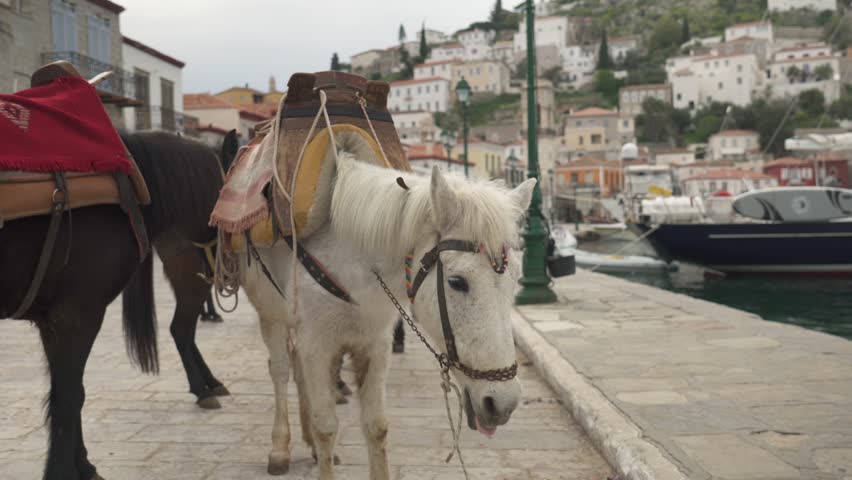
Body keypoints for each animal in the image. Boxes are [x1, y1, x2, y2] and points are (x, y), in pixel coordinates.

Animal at [0, 129, 233, 480]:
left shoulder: (52, 321)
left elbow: (71, 393)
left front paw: (83, 464)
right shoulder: (77, 316)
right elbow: (67, 397)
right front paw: (62, 469)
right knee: (181, 327)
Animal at [238, 137, 535, 479]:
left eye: (516, 280)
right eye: (457, 282)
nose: (502, 404)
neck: (354, 265)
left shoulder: (375, 344)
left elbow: (376, 427)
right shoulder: (318, 345)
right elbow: (326, 426)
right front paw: (317, 443)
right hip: (270, 315)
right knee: (280, 371)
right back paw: (280, 449)